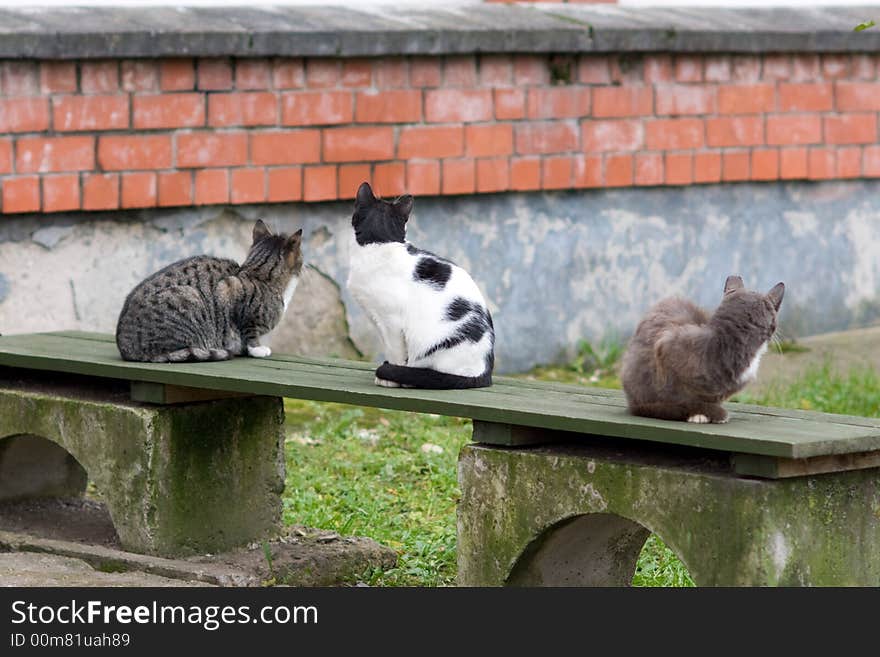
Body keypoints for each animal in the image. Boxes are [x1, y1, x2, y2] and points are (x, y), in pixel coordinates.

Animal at [117, 220, 304, 364]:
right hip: (190, 297)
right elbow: (249, 332)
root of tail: (125, 348)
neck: (258, 272)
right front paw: (257, 349)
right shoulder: (229, 290)